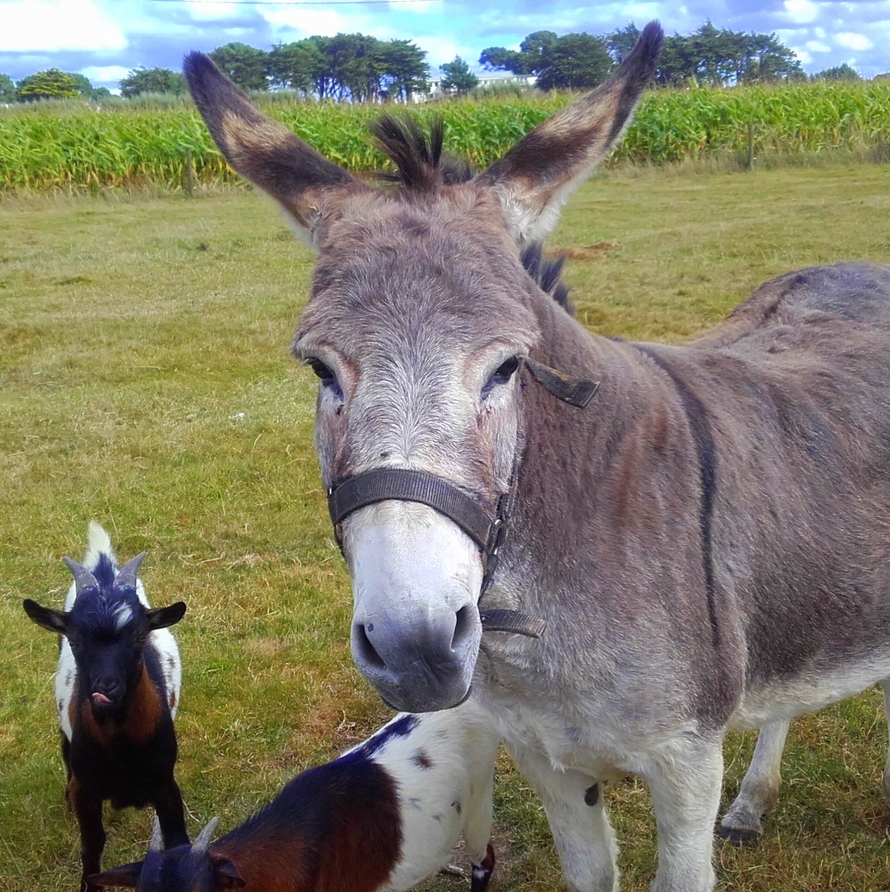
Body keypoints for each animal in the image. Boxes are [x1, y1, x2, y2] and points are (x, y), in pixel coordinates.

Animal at [23, 524, 187, 892]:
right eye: (74, 638)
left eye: (140, 636)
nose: (105, 688)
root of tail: (103, 568)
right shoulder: (87, 790)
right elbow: (92, 843)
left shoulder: (165, 783)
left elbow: (177, 841)